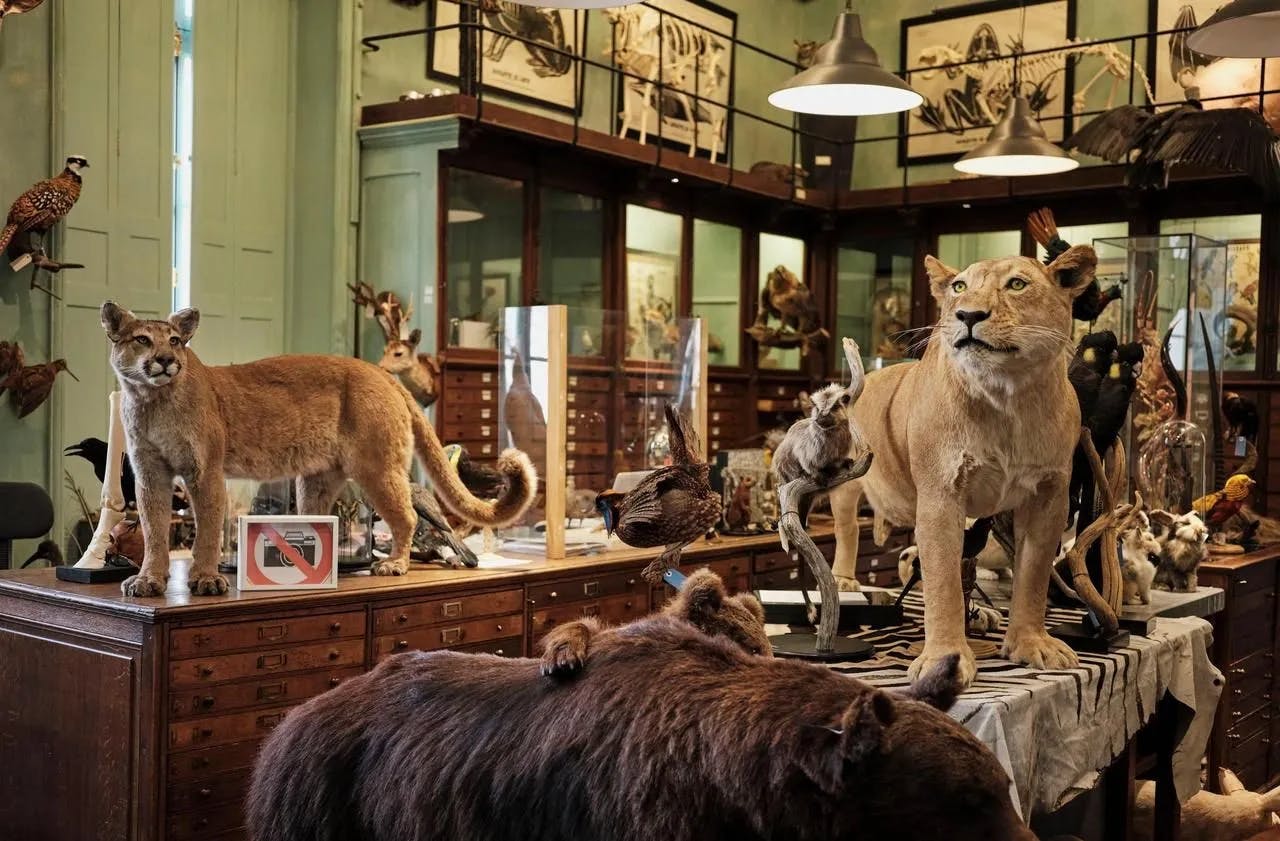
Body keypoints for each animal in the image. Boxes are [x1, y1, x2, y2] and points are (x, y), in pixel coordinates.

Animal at [99, 302, 535, 596]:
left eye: (175, 341)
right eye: (141, 339)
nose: (165, 359)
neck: (152, 400)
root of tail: (381, 373)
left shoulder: (204, 471)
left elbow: (205, 529)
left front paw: (205, 579)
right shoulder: (150, 473)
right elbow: (154, 528)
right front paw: (149, 579)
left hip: (376, 468)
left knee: (407, 515)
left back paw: (394, 564)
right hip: (317, 478)